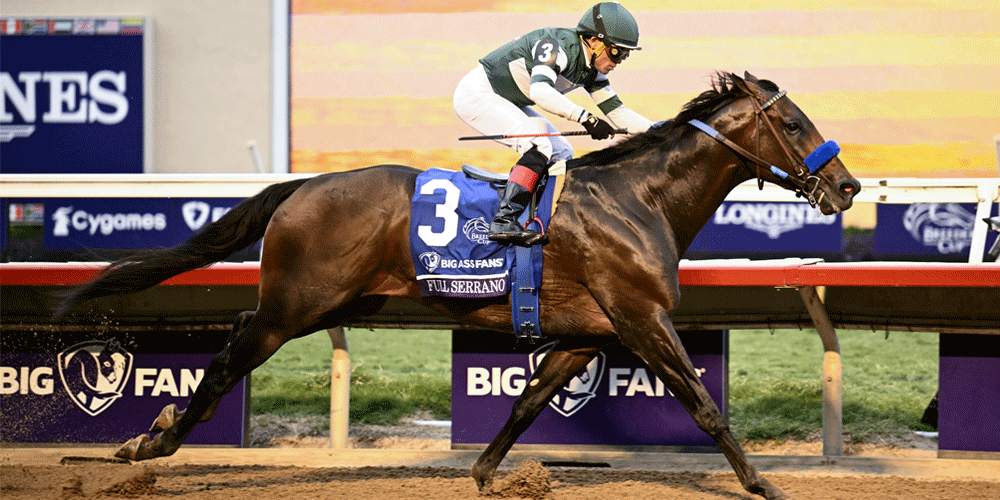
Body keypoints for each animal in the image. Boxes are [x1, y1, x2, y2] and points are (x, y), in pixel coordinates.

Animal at [55, 72, 860, 500]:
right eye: (792, 122)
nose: (848, 186)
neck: (640, 199)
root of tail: (304, 185)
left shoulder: (588, 334)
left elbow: (528, 403)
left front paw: (483, 473)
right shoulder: (642, 320)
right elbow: (703, 405)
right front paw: (762, 484)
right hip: (293, 306)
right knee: (226, 360)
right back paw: (150, 444)